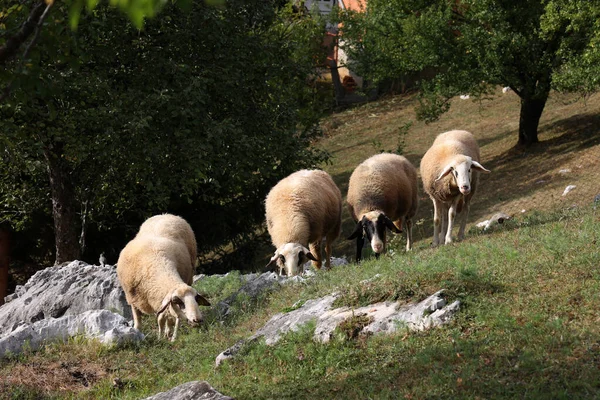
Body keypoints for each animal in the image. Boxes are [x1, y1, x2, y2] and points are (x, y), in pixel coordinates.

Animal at [116, 214, 211, 342]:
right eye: (178, 301)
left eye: (196, 299)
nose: (197, 320)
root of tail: (166, 214)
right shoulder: (132, 298)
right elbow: (138, 320)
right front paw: (137, 332)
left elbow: (168, 318)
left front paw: (168, 333)